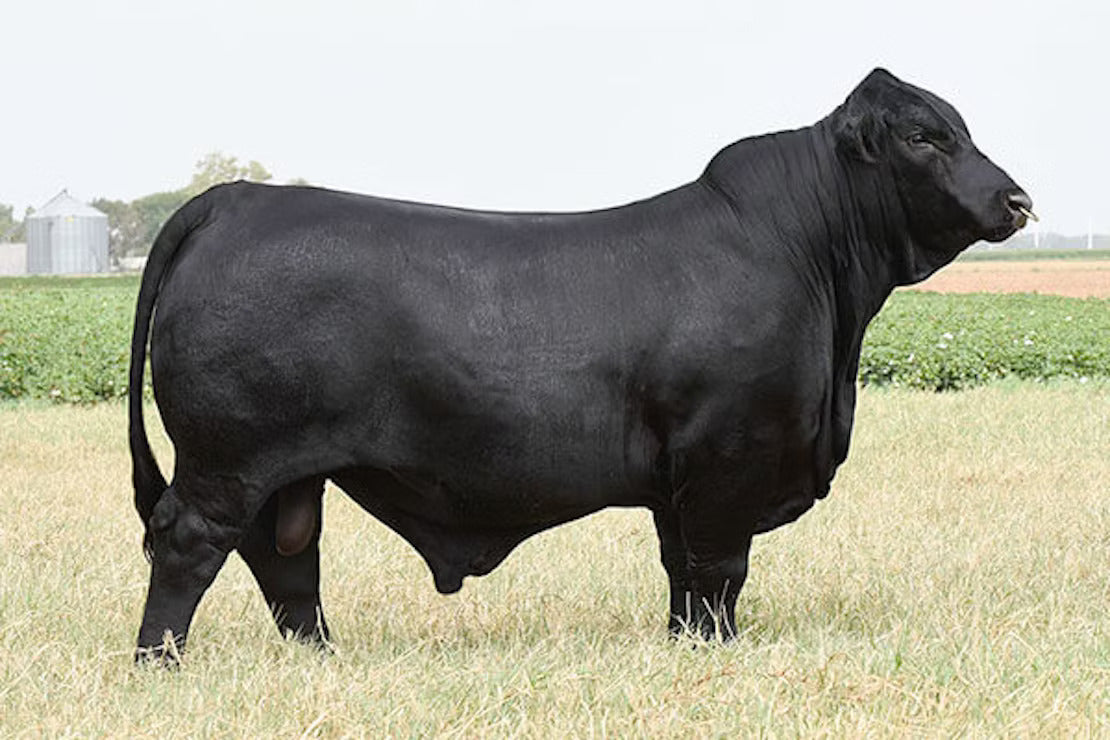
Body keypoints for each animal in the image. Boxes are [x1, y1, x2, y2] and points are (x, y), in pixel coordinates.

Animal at [129, 68, 1032, 661]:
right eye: (923, 135)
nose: (1017, 200)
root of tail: (236, 197)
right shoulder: (728, 462)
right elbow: (720, 571)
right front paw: (716, 653)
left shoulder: (681, 482)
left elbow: (684, 572)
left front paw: (684, 647)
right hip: (228, 459)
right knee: (188, 543)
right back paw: (159, 664)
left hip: (286, 472)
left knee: (286, 559)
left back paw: (322, 658)